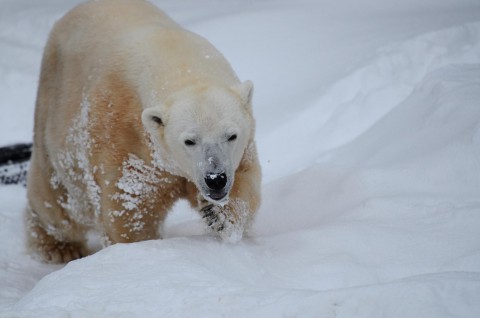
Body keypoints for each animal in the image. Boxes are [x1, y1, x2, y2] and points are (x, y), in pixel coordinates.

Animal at [25, 0, 262, 264]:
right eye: (189, 141)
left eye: (231, 135)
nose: (215, 179)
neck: (176, 59)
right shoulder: (124, 134)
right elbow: (131, 204)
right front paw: (139, 250)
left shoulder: (240, 150)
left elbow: (245, 180)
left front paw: (219, 217)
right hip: (53, 111)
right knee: (58, 198)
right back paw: (60, 247)